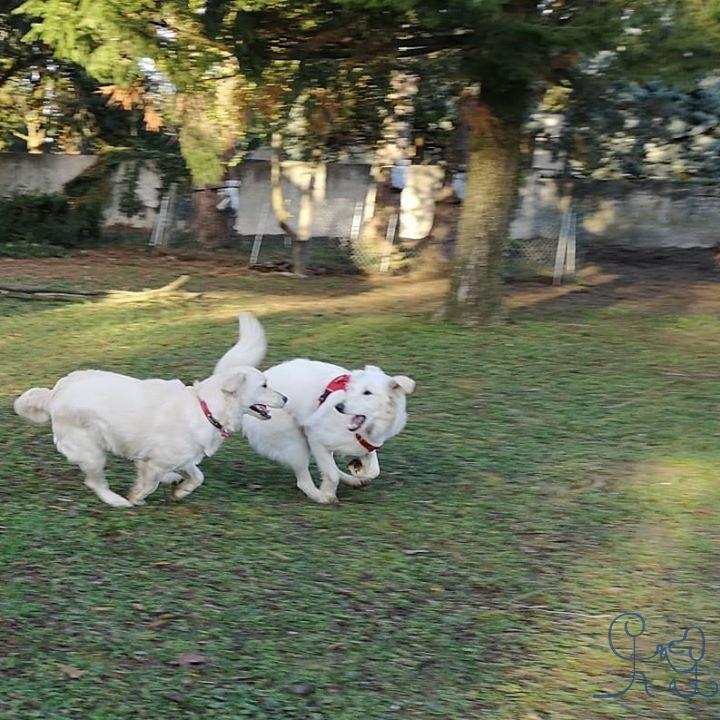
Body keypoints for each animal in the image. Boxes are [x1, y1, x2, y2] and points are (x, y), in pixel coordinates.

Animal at [13, 314, 284, 506]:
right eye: (264, 385)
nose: (285, 398)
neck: (205, 408)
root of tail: (55, 393)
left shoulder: (182, 455)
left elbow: (198, 476)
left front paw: (182, 490)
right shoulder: (158, 460)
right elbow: (149, 483)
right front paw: (137, 497)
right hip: (91, 450)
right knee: (95, 481)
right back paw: (116, 501)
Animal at [217, 330, 414, 504]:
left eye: (367, 393)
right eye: (350, 390)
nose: (339, 407)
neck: (365, 430)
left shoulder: (367, 444)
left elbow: (373, 469)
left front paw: (358, 469)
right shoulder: (316, 437)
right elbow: (332, 474)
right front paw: (328, 493)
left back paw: (353, 480)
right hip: (294, 444)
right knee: (303, 481)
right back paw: (320, 496)